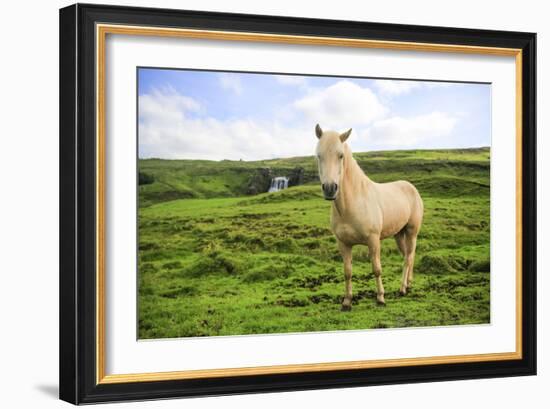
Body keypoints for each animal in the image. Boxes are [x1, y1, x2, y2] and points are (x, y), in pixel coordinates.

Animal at [314, 124, 426, 310]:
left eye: (340, 155)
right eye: (318, 155)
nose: (330, 189)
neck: (352, 204)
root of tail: (412, 188)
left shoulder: (373, 241)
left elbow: (376, 269)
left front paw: (380, 298)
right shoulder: (343, 244)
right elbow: (347, 272)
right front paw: (347, 301)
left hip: (412, 232)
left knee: (408, 257)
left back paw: (402, 288)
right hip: (399, 234)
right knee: (408, 256)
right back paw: (409, 283)